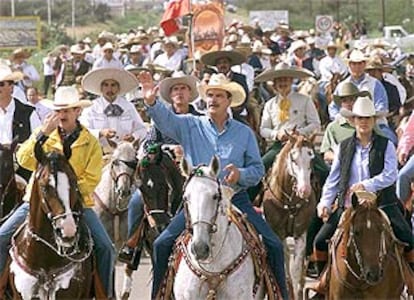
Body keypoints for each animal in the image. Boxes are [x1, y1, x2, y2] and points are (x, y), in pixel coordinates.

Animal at [264, 134, 318, 300]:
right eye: (293, 159)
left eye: (312, 158)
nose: (304, 190)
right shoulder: (278, 233)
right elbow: (286, 265)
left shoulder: (300, 233)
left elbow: (296, 269)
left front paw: (298, 292)